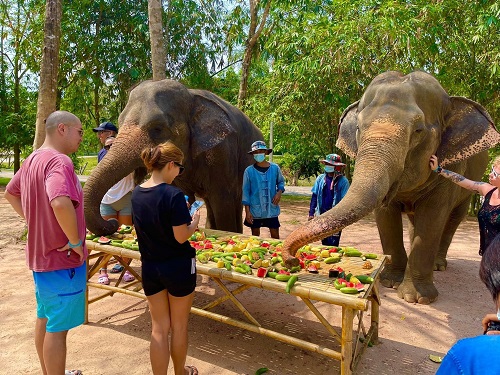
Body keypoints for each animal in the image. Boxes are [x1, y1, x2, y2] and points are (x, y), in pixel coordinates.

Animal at [85, 79, 266, 236]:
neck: (191, 95)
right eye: (120, 122)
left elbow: (222, 200)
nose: (113, 223)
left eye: (157, 128)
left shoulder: (222, 150)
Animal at [284, 71, 500, 306]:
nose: (292, 259)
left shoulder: (450, 169)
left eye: (418, 130)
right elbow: (386, 217)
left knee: (452, 219)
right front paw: (390, 282)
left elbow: (432, 218)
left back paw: (438, 265)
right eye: (358, 128)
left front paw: (417, 298)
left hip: (470, 184)